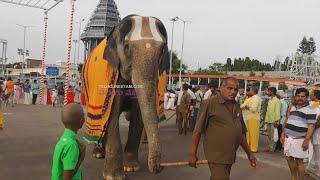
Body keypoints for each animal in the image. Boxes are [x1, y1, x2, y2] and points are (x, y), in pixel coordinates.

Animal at [81, 14, 169, 179]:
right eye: (127, 47)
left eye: (162, 49)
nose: (159, 168)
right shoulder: (115, 78)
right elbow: (112, 115)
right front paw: (114, 176)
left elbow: (138, 115)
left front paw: (132, 168)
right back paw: (98, 154)